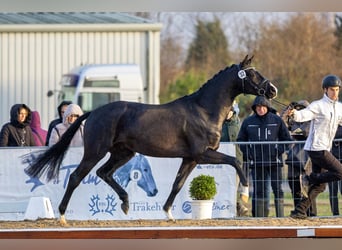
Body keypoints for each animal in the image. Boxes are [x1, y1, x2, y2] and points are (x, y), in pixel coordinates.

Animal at [24, 54, 278, 223]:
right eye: (252, 74)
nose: (273, 90)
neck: (204, 110)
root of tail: (94, 112)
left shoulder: (190, 158)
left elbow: (178, 184)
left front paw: (168, 213)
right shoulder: (202, 153)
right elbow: (234, 161)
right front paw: (246, 188)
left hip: (124, 152)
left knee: (104, 173)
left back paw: (126, 204)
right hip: (95, 151)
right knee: (77, 176)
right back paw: (62, 216)